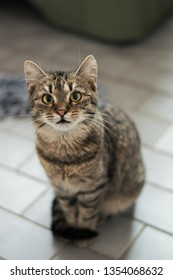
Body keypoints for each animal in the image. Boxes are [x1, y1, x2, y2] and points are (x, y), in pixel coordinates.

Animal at [23, 55, 145, 246]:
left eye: (75, 96)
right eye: (48, 99)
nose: (62, 111)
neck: (64, 155)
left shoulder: (93, 188)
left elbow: (87, 214)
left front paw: (82, 236)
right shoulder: (62, 188)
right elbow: (69, 211)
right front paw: (74, 229)